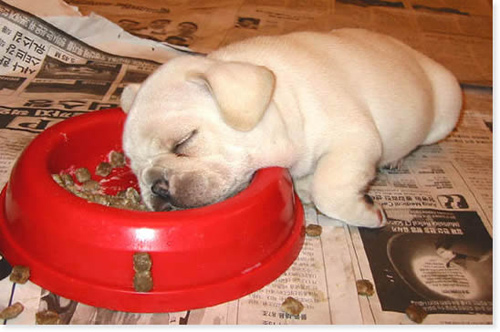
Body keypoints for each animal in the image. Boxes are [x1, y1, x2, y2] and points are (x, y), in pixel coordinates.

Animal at [120, 28, 460, 227]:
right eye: (134, 167)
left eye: (184, 142)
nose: (155, 186)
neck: (281, 100)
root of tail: (412, 52)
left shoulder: (355, 140)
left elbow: (329, 189)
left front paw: (369, 215)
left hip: (446, 112)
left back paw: (397, 158)